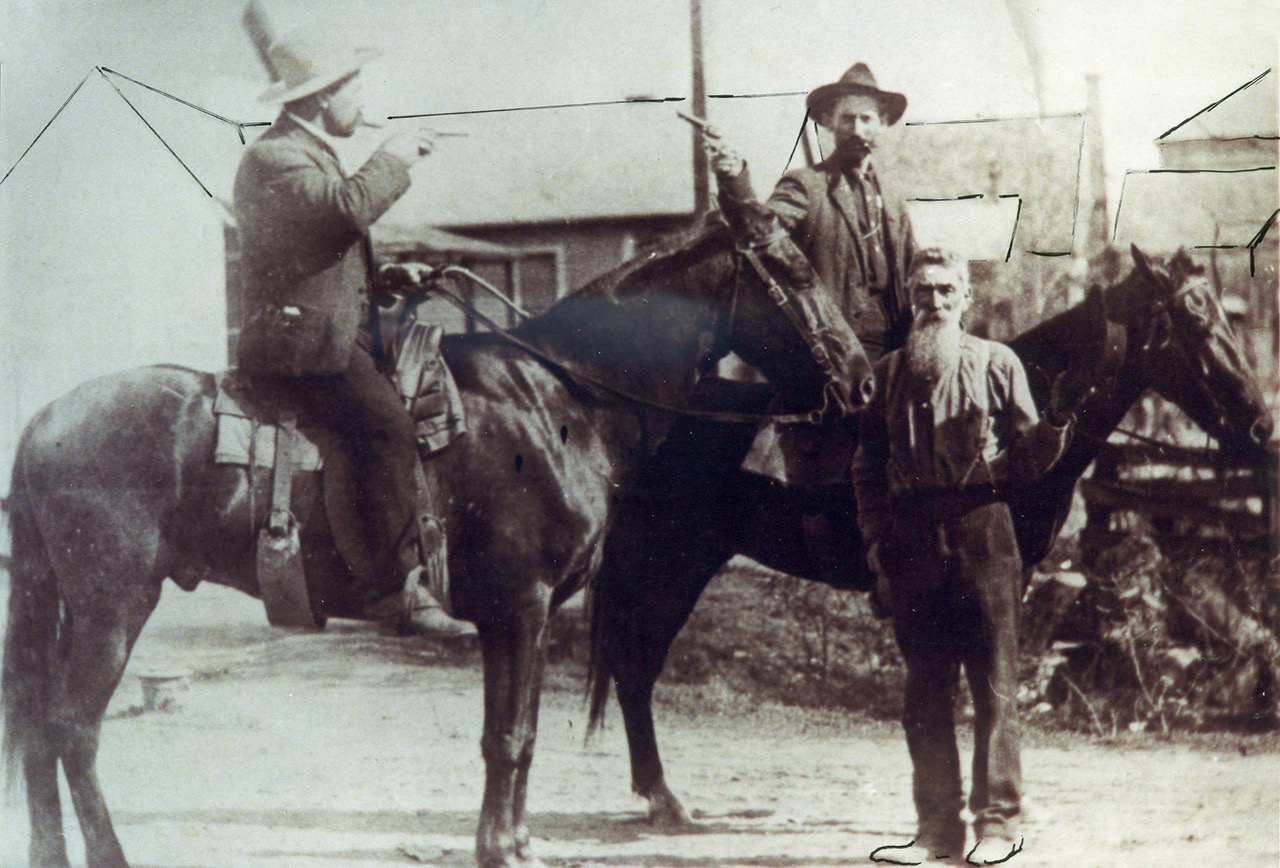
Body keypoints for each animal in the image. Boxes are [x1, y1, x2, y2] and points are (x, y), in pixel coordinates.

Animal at [0, 206, 870, 868]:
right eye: (791, 270)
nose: (861, 376)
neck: (558, 396)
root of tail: (43, 420)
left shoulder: (520, 616)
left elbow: (512, 732)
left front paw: (513, 840)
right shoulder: (522, 605)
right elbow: (511, 736)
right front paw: (503, 848)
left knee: (40, 730)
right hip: (114, 609)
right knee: (74, 731)